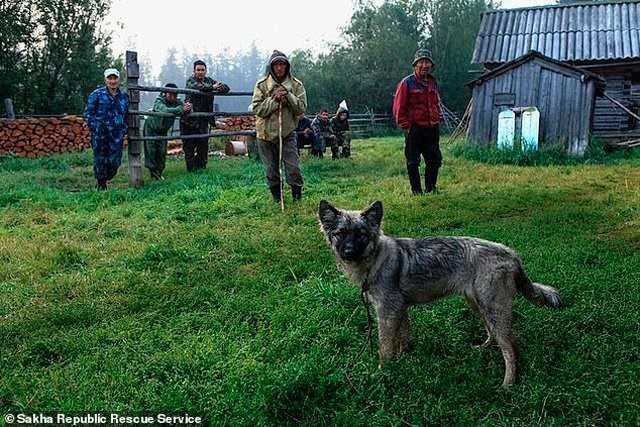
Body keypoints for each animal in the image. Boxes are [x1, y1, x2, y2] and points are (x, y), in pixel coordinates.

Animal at [320, 201, 560, 388]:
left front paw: (382, 373)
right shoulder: (400, 309)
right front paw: (403, 360)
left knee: (510, 347)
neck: (376, 259)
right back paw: (484, 347)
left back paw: (508, 384)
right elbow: (403, 339)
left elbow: (385, 348)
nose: (348, 252)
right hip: (477, 303)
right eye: (340, 234)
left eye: (361, 234)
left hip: (493, 308)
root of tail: (511, 253)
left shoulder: (387, 311)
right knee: (493, 334)